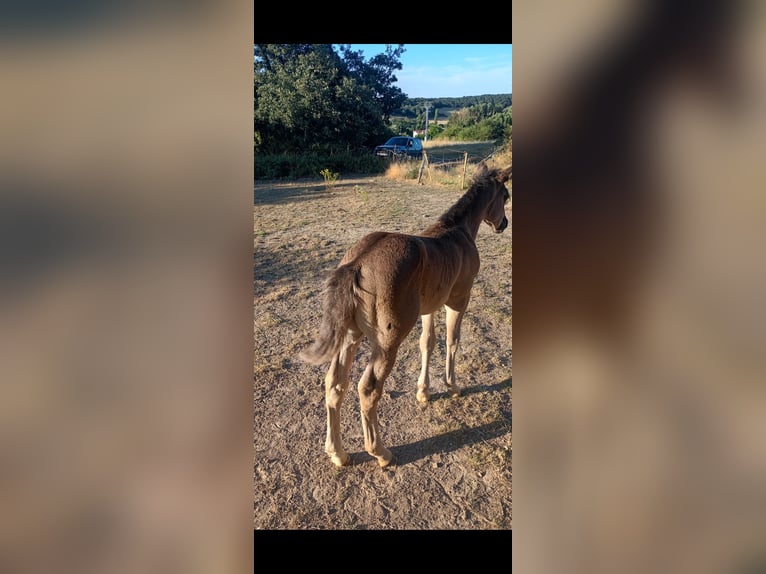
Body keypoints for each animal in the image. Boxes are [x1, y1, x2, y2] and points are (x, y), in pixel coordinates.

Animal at [299, 162, 511, 467]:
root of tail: (357, 263)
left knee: (335, 383)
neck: (457, 232)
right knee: (368, 389)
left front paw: (423, 392)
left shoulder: (429, 307)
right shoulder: (459, 300)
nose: (503, 224)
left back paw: (338, 453)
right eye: (506, 196)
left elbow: (427, 342)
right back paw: (380, 452)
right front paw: (452, 385)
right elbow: (452, 341)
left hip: (350, 335)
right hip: (387, 342)